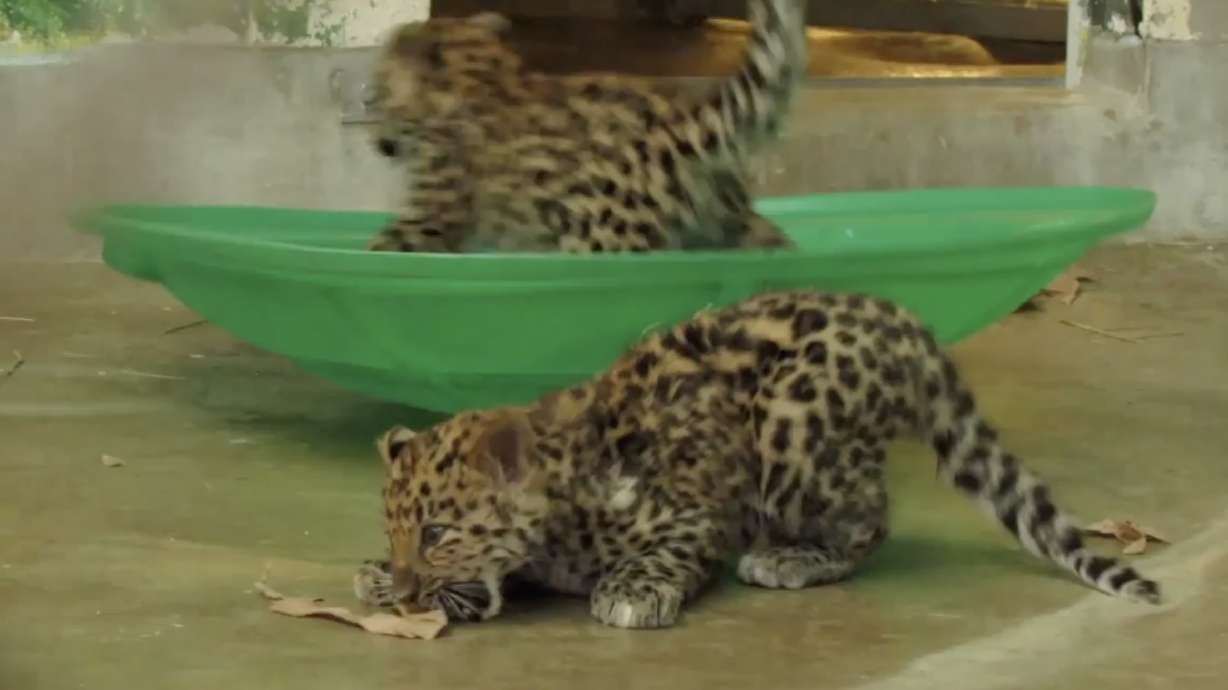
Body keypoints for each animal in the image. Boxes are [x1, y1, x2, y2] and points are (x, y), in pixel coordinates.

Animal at [353, 290, 1162, 629]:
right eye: (397, 531)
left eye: (438, 534)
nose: (406, 587)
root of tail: (908, 328)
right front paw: (377, 575)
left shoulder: (692, 507)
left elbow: (661, 552)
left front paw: (631, 591)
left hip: (791, 417)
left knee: (870, 519)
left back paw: (791, 557)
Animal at [363, 0, 808, 254]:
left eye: (374, 97)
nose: (374, 141)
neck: (481, 76)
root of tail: (684, 125)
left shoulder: (431, 213)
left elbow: (385, 245)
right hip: (731, 221)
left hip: (601, 235)